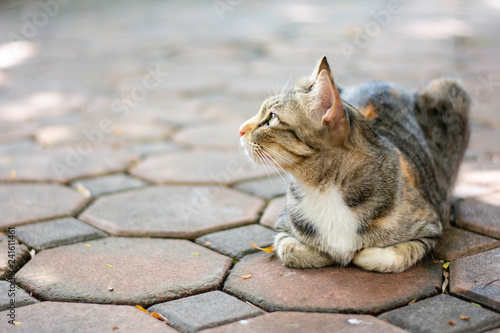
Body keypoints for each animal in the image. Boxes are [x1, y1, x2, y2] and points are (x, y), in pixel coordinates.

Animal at [238, 55, 468, 272]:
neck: (324, 187)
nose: (239, 129)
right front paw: (325, 253)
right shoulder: (282, 226)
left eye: (272, 118)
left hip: (448, 90)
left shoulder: (430, 227)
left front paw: (358, 254)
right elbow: (289, 249)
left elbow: (396, 254)